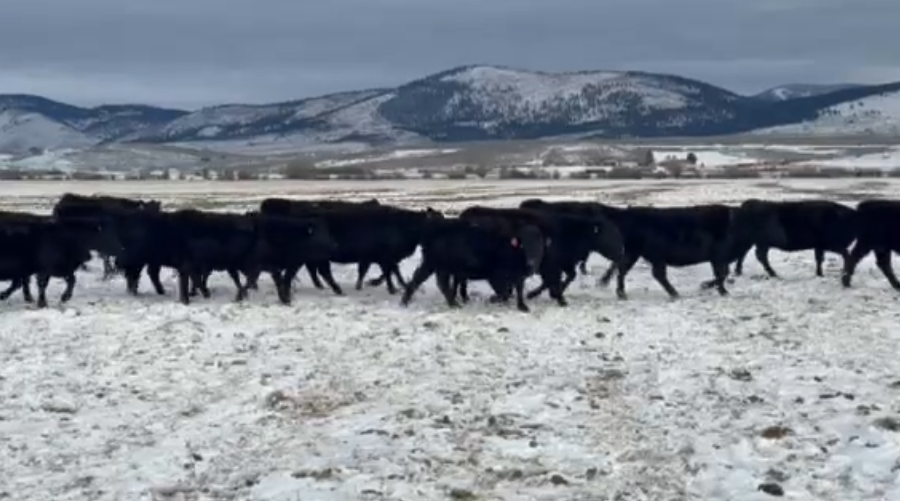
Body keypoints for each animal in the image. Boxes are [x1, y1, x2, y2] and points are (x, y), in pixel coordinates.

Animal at [400, 218, 546, 312]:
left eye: (539, 247)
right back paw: (453, 304)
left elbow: (518, 291)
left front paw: (522, 306)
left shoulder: (519, 277)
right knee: (439, 283)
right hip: (441, 265)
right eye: (523, 245)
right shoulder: (495, 277)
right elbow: (504, 293)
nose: (531, 263)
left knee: (418, 279)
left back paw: (405, 301)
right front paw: (493, 299)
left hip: (431, 263)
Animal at [458, 205, 624, 306]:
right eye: (609, 235)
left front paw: (547, 293)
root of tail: (466, 212)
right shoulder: (552, 265)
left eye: (617, 232)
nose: (622, 252)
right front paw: (554, 295)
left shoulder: (563, 263)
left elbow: (567, 277)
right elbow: (552, 280)